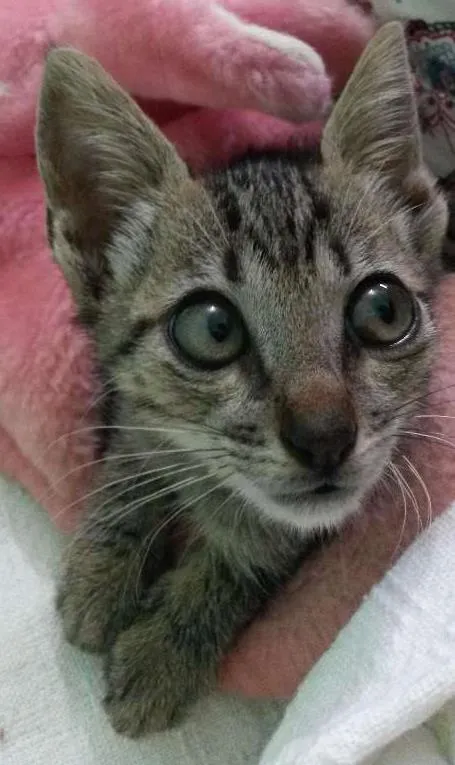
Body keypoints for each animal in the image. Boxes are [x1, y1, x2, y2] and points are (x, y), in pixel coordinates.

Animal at [36, 23, 448, 736]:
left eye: (383, 310)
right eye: (212, 328)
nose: (325, 437)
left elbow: (255, 553)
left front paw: (166, 647)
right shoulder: (123, 400)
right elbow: (136, 440)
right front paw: (104, 564)